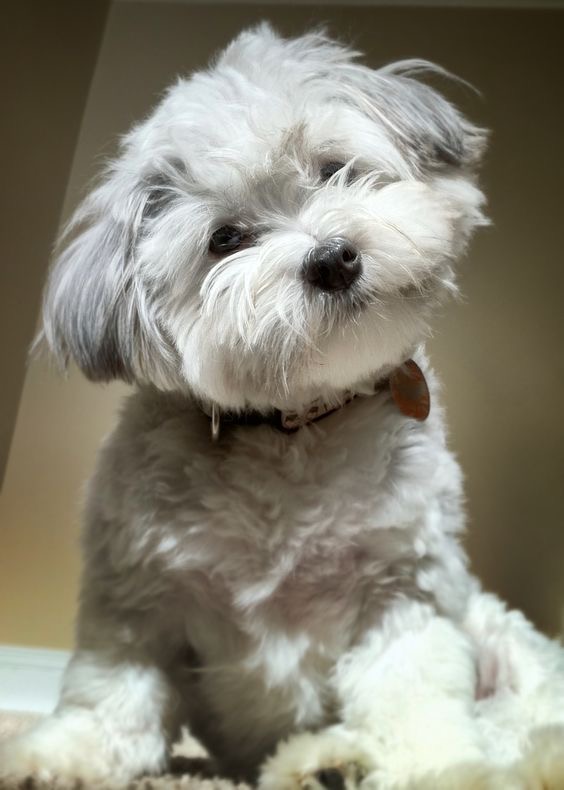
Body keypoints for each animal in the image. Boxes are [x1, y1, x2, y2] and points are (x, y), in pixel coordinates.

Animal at [1, 24, 564, 790]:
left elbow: (413, 698)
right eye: (226, 240)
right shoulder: (138, 604)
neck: (293, 424)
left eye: (334, 169)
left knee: (519, 728)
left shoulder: (403, 595)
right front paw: (63, 755)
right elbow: (112, 695)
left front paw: (438, 770)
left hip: (499, 636)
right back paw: (324, 763)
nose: (333, 258)